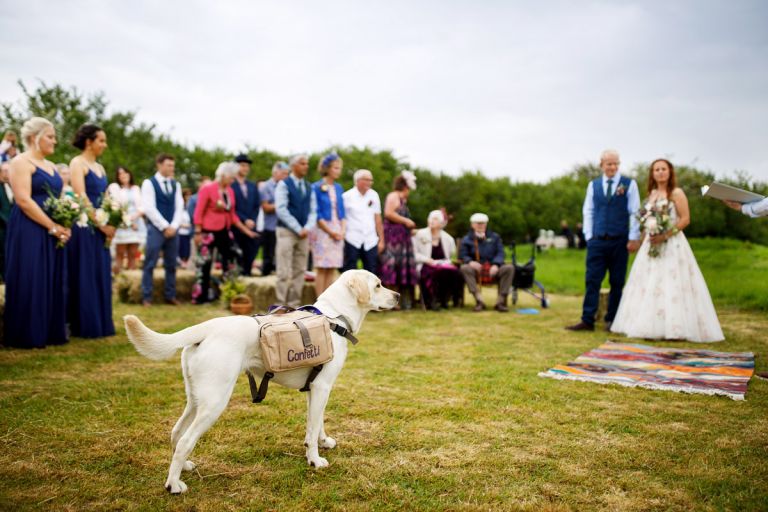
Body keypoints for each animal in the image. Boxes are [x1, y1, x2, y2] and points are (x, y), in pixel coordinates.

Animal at [123, 270, 400, 494]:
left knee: (176, 433)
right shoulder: (322, 387)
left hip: (195, 399)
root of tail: (206, 327)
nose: (397, 295)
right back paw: (173, 485)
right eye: (378, 285)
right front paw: (314, 459)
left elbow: (317, 423)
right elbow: (312, 430)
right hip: (215, 402)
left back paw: (185, 467)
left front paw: (323, 443)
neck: (334, 318)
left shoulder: (316, 389)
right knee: (184, 441)